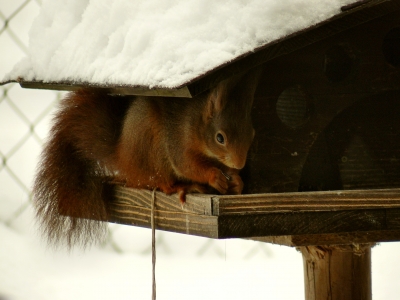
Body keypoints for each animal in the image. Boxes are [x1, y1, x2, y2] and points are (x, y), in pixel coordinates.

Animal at [33, 68, 262, 248]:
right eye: (220, 138)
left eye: (252, 134)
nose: (240, 163)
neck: (197, 123)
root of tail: (123, 158)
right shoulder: (179, 142)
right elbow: (188, 165)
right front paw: (214, 177)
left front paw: (236, 180)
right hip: (150, 147)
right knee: (159, 182)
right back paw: (183, 186)